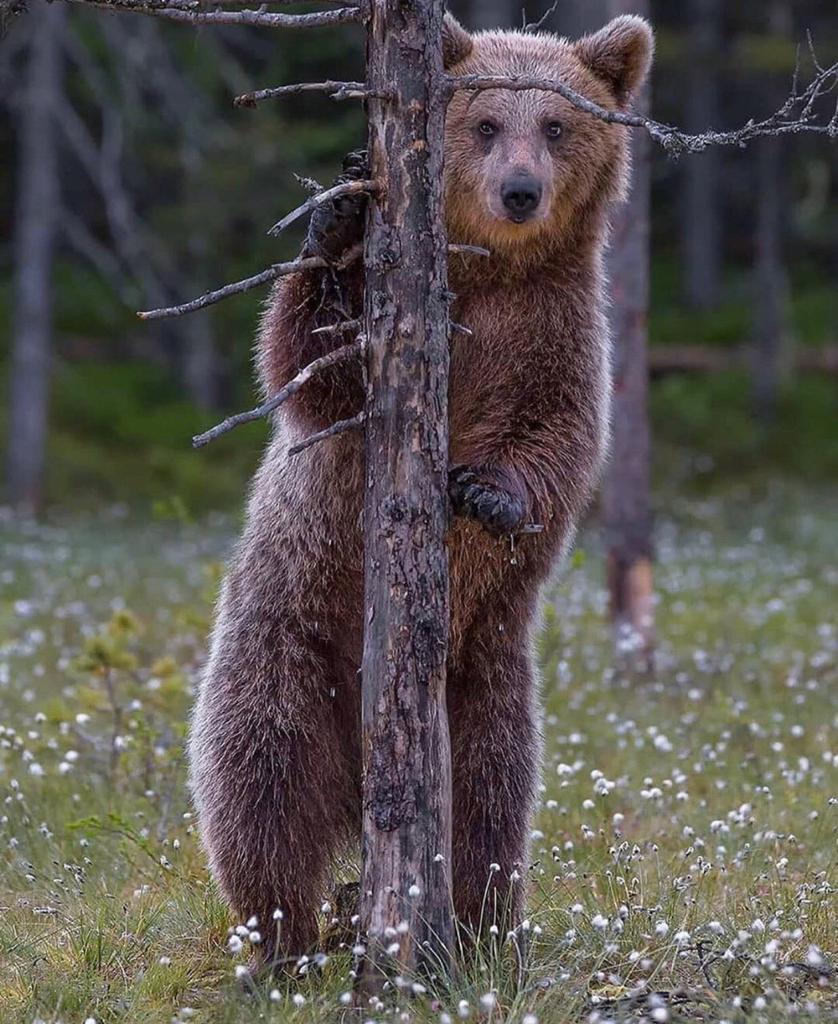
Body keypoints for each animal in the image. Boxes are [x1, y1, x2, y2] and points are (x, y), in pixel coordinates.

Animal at [189, 12, 651, 962]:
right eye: (485, 123)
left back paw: (480, 924)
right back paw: (280, 940)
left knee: (488, 803)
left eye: (557, 125)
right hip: (285, 637)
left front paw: (489, 493)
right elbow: (307, 369)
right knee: (260, 782)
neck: (488, 274)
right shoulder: (383, 355)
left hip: (483, 675)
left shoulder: (556, 333)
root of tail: (364, 777)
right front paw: (333, 218)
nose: (520, 191)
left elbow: (560, 439)